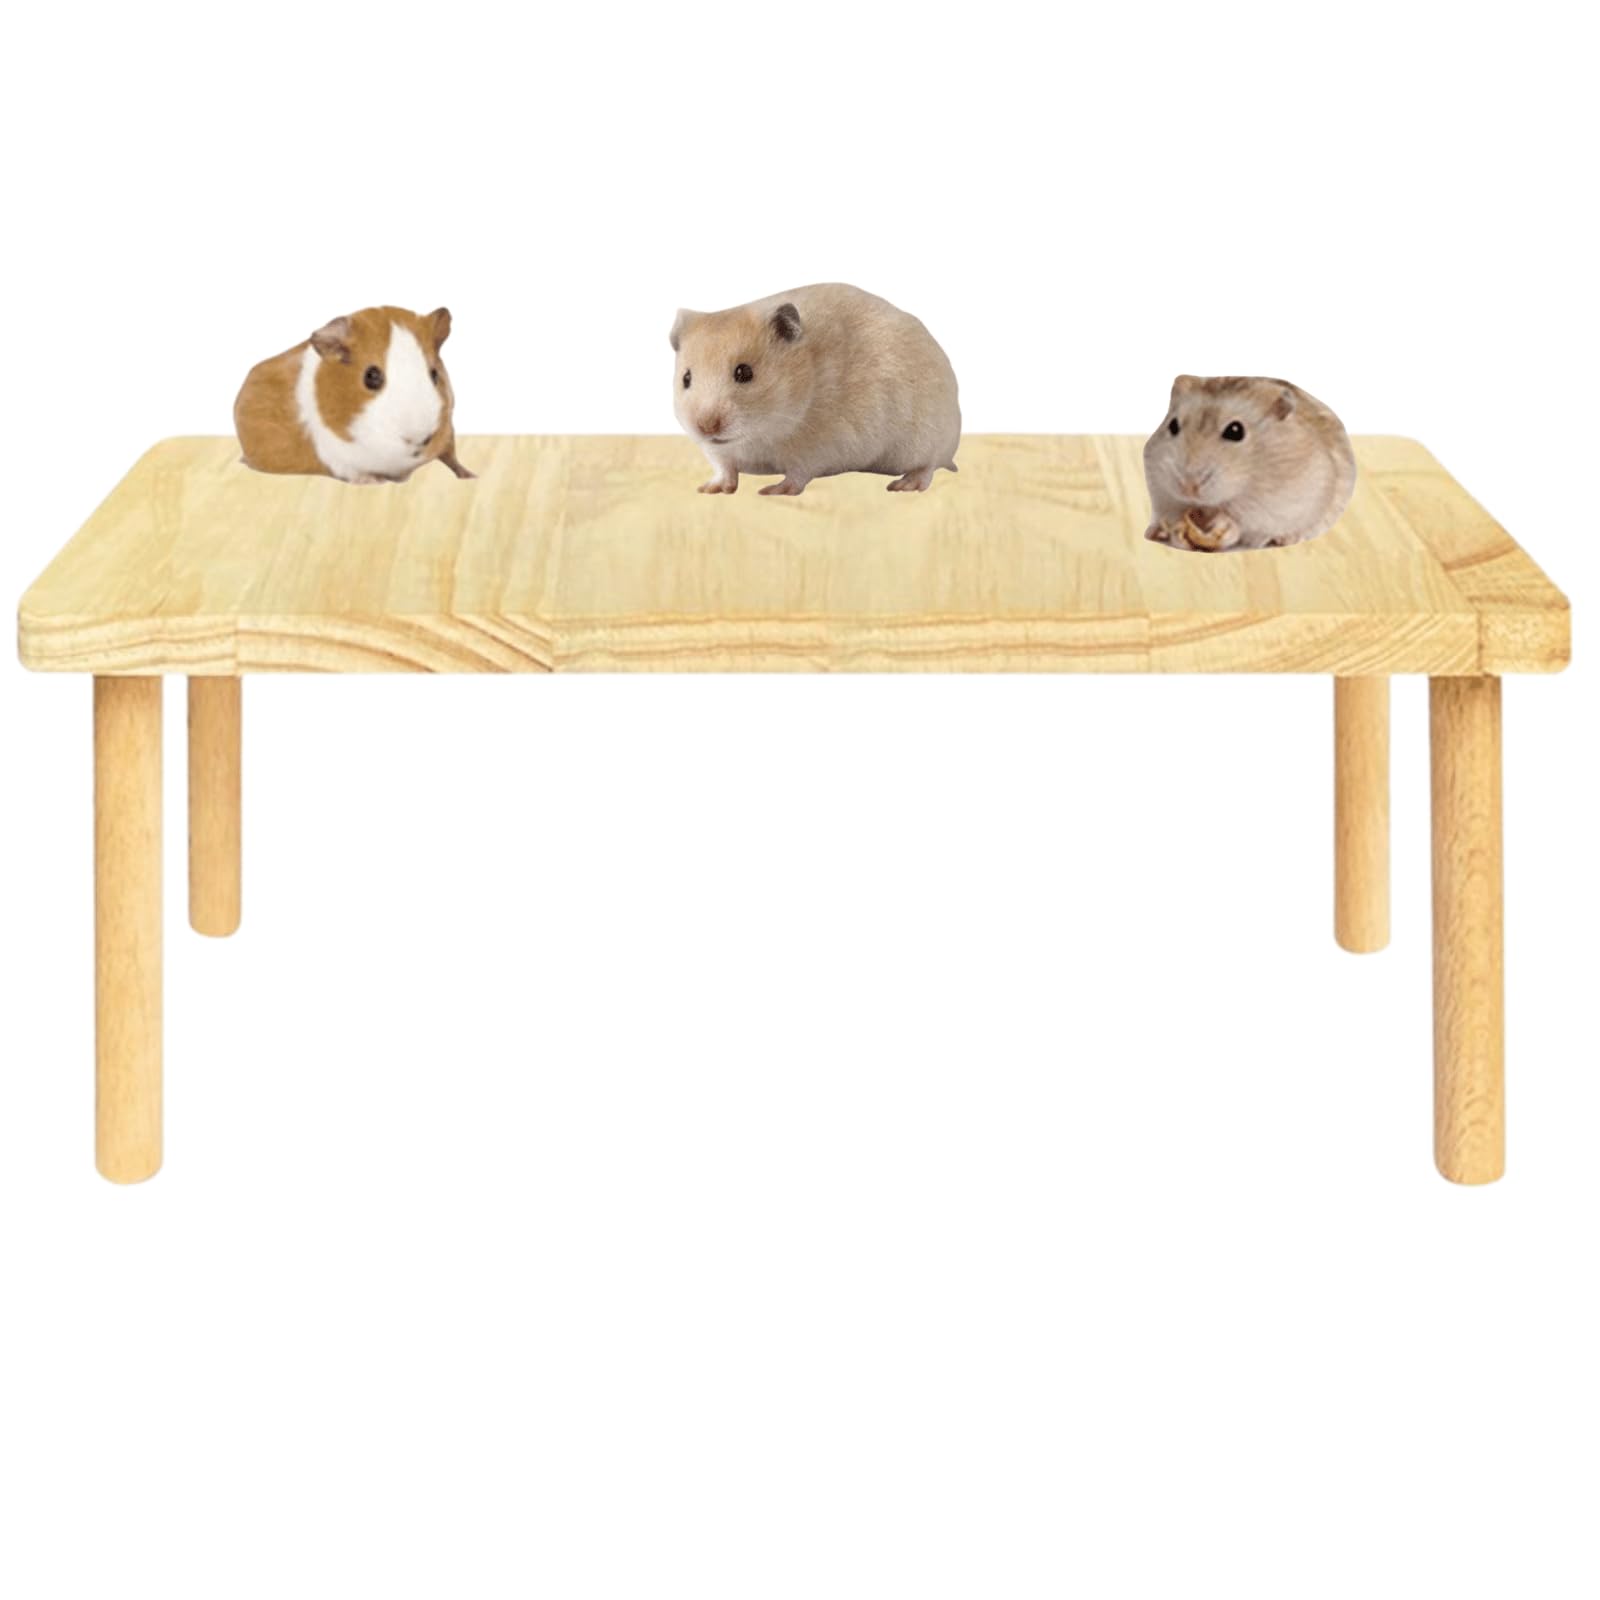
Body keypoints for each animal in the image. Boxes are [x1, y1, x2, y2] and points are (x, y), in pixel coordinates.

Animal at [234, 306, 473, 485]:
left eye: (434, 374)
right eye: (371, 376)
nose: (418, 439)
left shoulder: (448, 434)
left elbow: (451, 456)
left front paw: (470, 476)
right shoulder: (336, 456)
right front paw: (375, 481)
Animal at [669, 283, 961, 496]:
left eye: (744, 372)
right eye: (686, 378)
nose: (706, 427)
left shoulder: (818, 449)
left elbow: (797, 474)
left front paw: (772, 491)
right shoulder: (719, 452)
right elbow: (725, 469)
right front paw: (708, 489)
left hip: (927, 436)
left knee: (930, 465)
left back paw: (904, 485)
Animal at [1142, 376, 1355, 551]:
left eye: (1236, 431)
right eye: (1172, 425)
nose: (1188, 487)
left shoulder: (1275, 505)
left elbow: (1240, 523)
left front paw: (1221, 525)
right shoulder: (1161, 493)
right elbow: (1173, 514)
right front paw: (1175, 533)